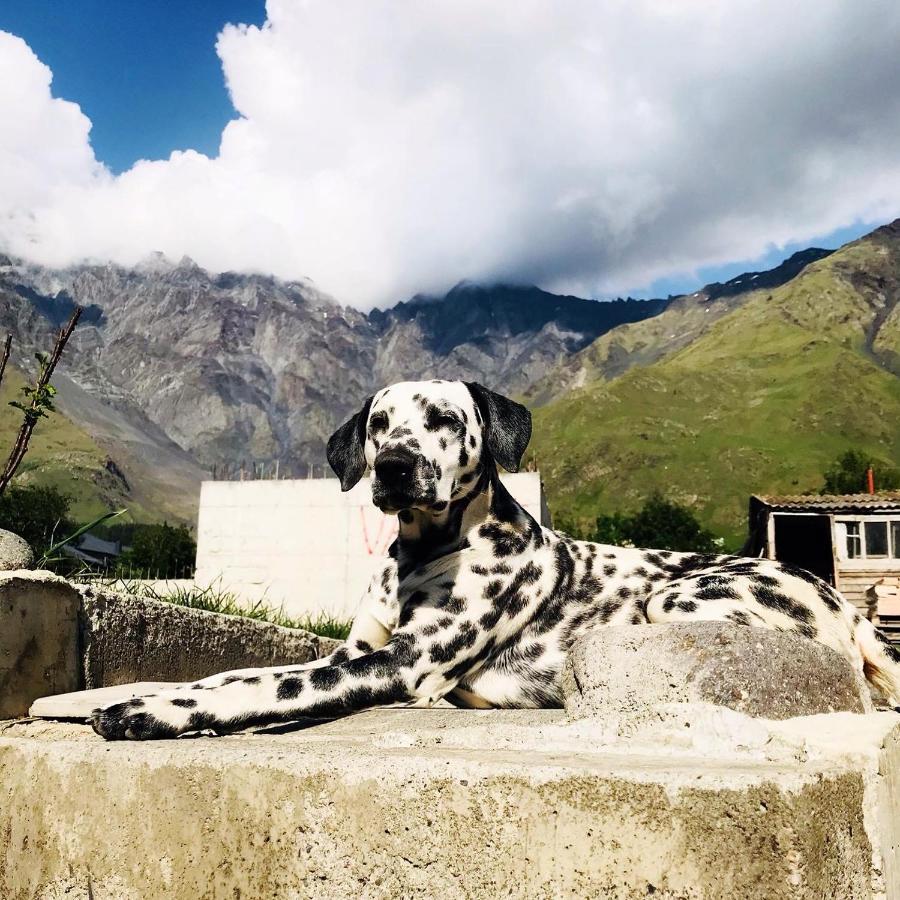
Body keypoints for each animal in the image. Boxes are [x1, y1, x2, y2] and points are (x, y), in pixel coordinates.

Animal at [91, 380, 900, 740]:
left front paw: (155, 710)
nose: (395, 467)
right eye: (379, 424)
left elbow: (272, 684)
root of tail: (846, 609)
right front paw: (170, 689)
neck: (424, 549)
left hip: (673, 601)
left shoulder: (399, 664)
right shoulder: (358, 648)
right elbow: (237, 672)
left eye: (446, 420)